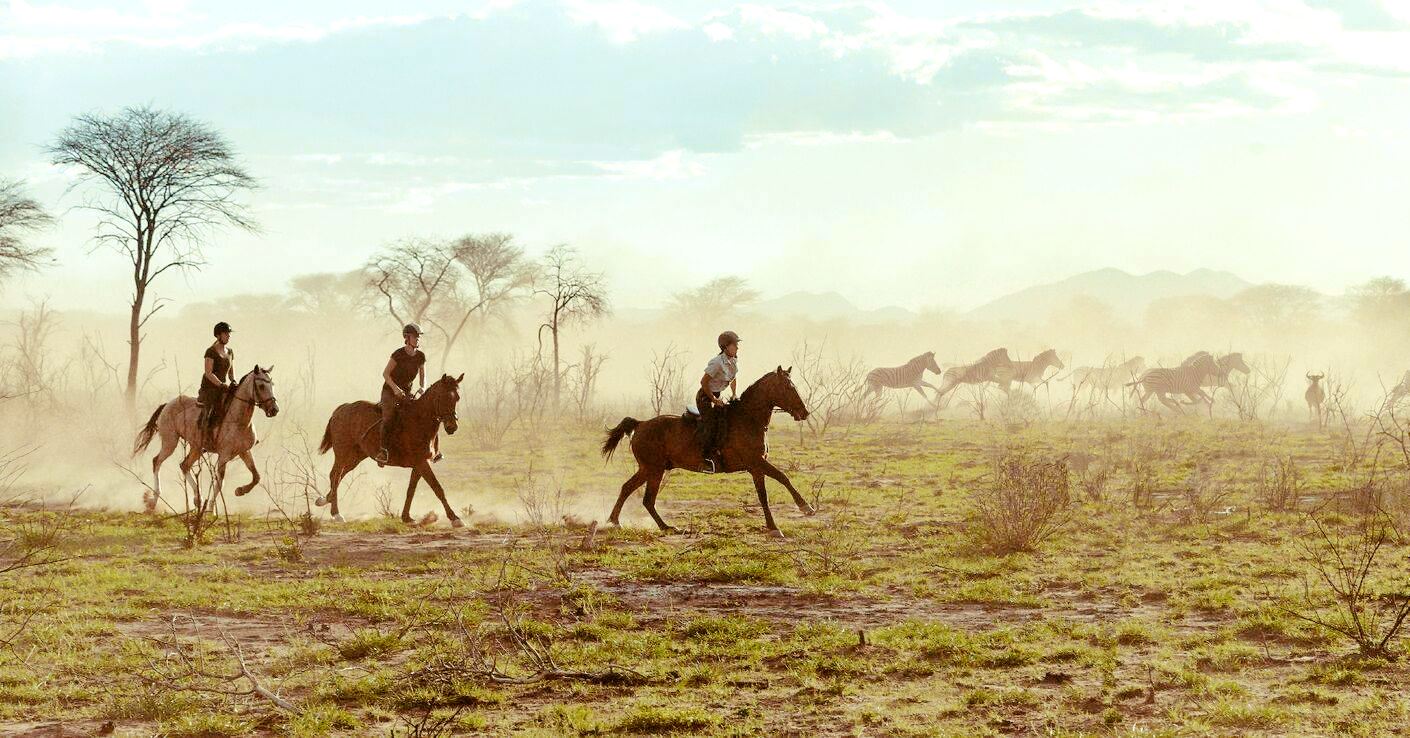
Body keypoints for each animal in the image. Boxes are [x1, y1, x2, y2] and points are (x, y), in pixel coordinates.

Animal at [134, 364, 280, 513]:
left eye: (272, 384)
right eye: (261, 386)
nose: (274, 409)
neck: (240, 421)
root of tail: (167, 404)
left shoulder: (244, 451)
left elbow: (256, 476)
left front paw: (240, 491)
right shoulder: (224, 455)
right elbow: (220, 481)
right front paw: (211, 510)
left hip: (196, 447)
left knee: (184, 465)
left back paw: (198, 499)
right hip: (170, 442)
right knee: (157, 461)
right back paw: (154, 500)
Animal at [315, 375, 465, 524]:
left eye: (457, 398)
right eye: (441, 397)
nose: (452, 427)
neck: (419, 421)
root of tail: (341, 409)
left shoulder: (420, 464)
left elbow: (411, 490)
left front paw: (406, 517)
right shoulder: (422, 463)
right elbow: (437, 488)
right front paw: (455, 518)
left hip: (355, 457)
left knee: (337, 475)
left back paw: (325, 499)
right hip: (343, 453)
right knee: (336, 476)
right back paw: (336, 513)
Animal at [597, 366, 817, 536]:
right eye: (788, 387)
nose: (804, 412)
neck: (748, 419)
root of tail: (640, 424)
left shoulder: (756, 467)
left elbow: (768, 491)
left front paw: (776, 524)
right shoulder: (756, 462)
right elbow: (780, 478)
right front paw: (803, 509)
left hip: (650, 469)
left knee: (631, 490)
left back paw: (624, 522)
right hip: (654, 469)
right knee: (645, 497)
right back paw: (655, 526)